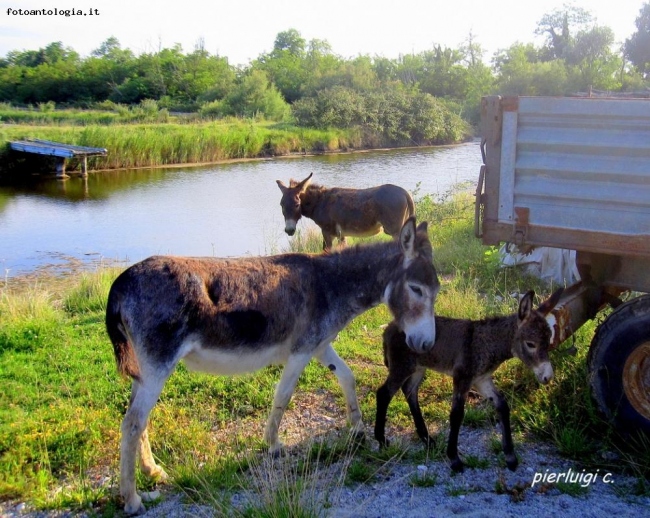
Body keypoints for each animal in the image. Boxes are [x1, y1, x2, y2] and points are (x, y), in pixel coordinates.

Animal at [374, 290, 560, 474]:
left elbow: (502, 405)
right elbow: (456, 414)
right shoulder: (462, 378)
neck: (486, 342)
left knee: (410, 391)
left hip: (418, 368)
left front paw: (510, 457)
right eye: (531, 344)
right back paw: (382, 440)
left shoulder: (481, 380)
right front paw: (454, 459)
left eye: (548, 342)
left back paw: (427, 440)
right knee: (384, 394)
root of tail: (389, 327)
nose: (548, 377)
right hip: (402, 367)